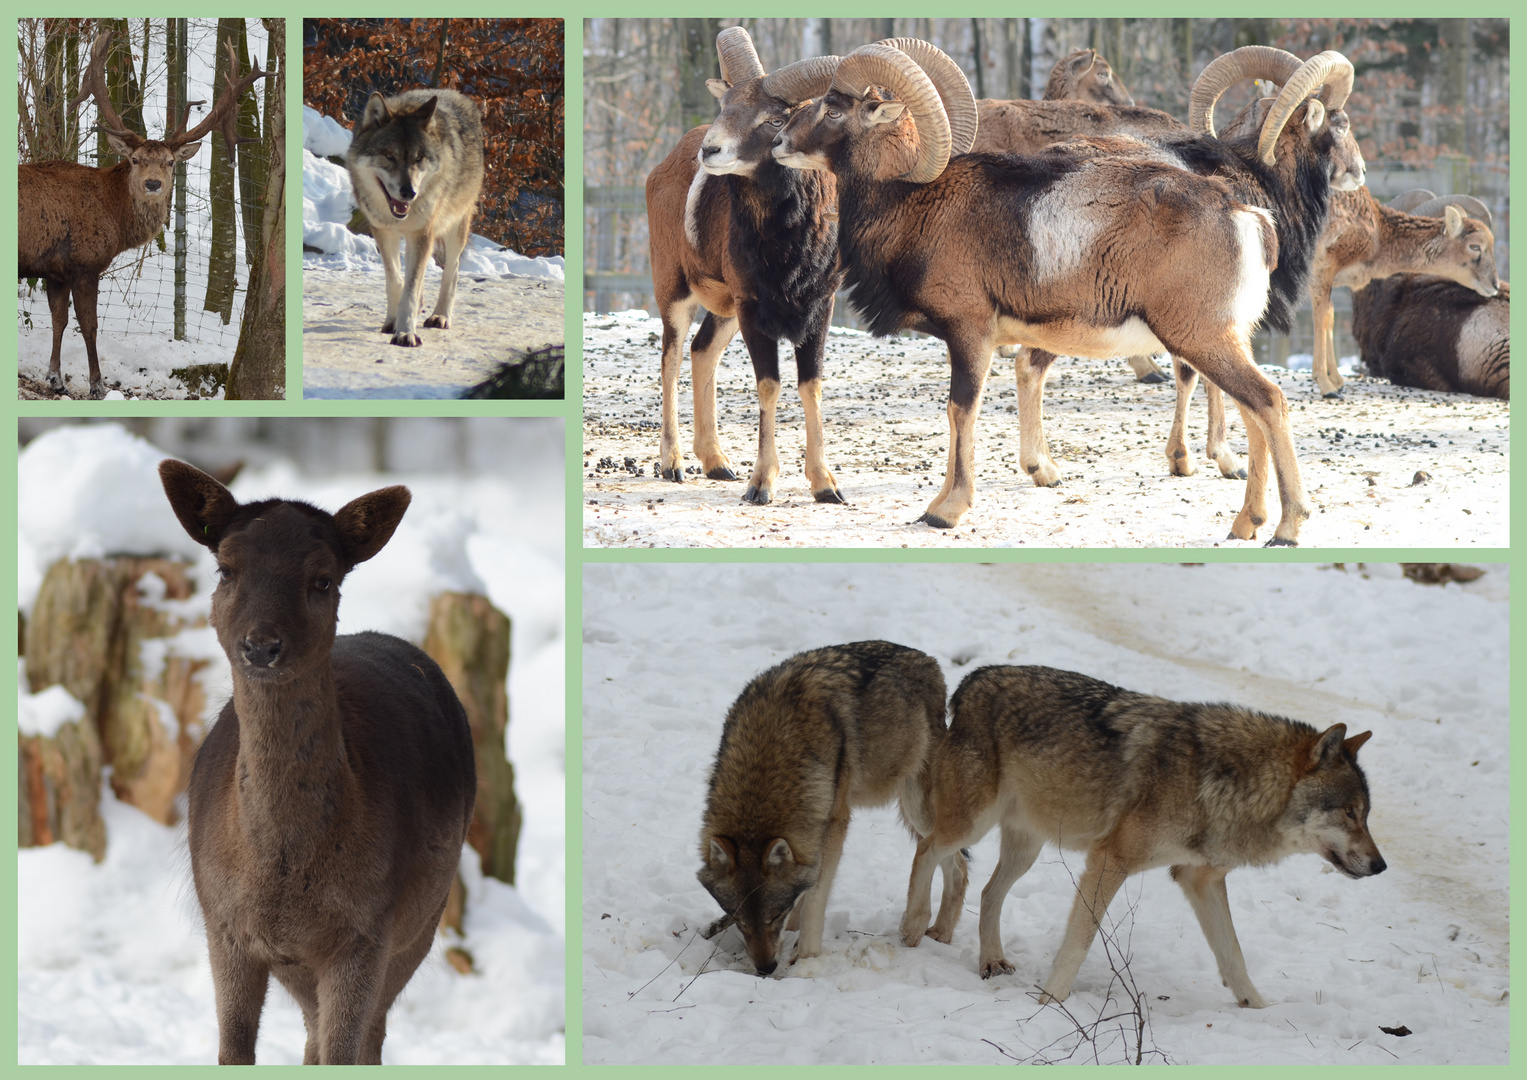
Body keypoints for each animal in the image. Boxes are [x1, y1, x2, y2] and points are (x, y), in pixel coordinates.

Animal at [349, 92, 485, 351]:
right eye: (389, 156)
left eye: (418, 158)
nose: (409, 192)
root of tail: (460, 96)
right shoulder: (383, 231)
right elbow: (396, 281)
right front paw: (393, 322)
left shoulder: (423, 232)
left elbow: (410, 290)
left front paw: (405, 333)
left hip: (454, 227)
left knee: (451, 271)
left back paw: (440, 316)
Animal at [696, 641, 958, 977]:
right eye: (740, 921)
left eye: (774, 916)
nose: (766, 968)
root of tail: (929, 660)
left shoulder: (834, 822)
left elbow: (816, 895)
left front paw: (806, 956)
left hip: (918, 809)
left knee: (957, 864)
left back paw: (936, 933)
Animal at [897, 662, 1392, 1008]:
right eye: (1350, 813)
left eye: (1366, 816)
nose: (1381, 865)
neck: (1227, 783)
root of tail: (973, 679)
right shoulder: (1109, 861)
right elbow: (1077, 944)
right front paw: (1050, 1003)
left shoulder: (1199, 879)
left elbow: (1233, 953)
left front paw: (1259, 1008)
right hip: (973, 824)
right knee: (927, 849)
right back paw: (914, 926)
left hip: (1026, 848)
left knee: (985, 890)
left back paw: (988, 960)